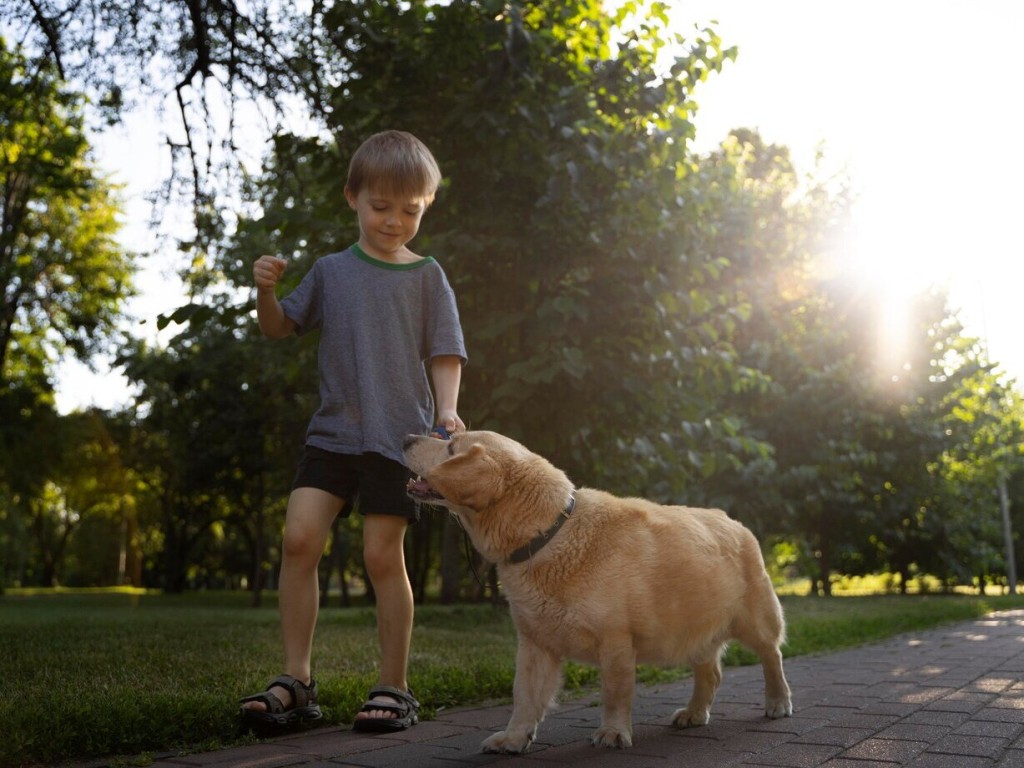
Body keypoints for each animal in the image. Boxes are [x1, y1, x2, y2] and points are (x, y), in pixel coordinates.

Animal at [401, 430, 790, 753]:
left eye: (451, 447)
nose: (405, 438)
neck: (548, 533)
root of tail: (732, 521)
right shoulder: (534, 642)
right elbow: (524, 696)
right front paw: (513, 738)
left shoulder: (615, 639)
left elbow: (615, 694)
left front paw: (613, 733)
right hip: (693, 629)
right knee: (711, 673)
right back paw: (694, 713)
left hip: (756, 621)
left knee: (772, 656)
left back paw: (777, 702)